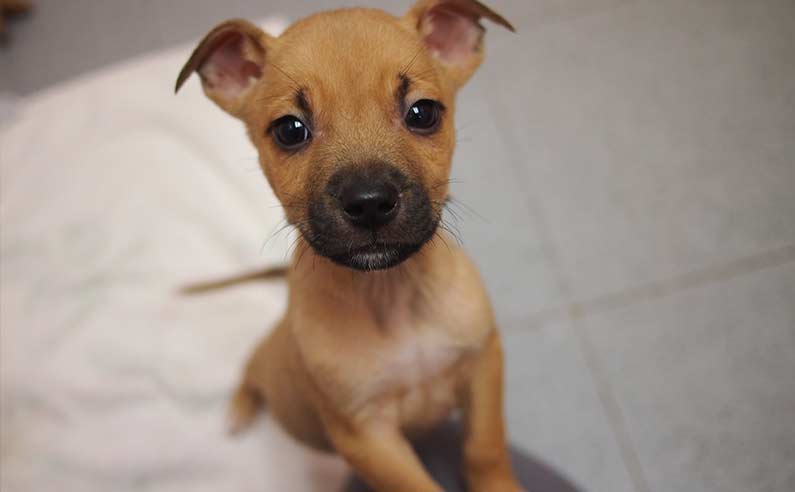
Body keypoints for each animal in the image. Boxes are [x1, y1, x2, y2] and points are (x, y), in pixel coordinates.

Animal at [176, 1, 520, 490]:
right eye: (290, 129)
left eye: (423, 113)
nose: (370, 202)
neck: (391, 293)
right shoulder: (363, 435)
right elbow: (417, 484)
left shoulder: (484, 367)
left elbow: (485, 449)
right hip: (268, 362)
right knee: (248, 370)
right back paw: (239, 409)